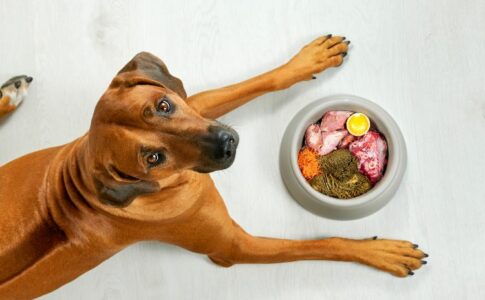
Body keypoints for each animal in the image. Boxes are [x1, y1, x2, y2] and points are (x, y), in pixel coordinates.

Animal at [0, 34, 424, 298]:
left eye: (163, 106)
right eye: (153, 158)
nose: (227, 143)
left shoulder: (195, 105)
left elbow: (256, 83)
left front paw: (307, 60)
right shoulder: (233, 247)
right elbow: (323, 244)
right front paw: (383, 252)